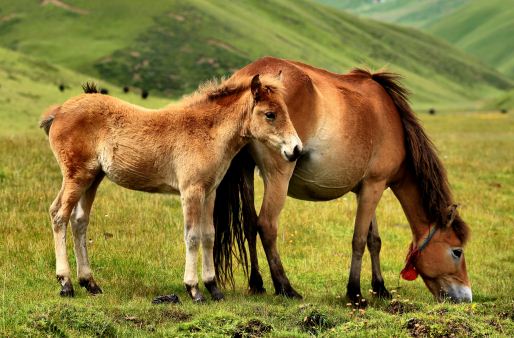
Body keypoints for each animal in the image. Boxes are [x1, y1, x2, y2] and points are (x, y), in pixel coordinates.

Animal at [43, 74, 304, 302]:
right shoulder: (191, 191)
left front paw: (214, 288)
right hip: (76, 176)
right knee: (59, 214)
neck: (207, 132)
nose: (296, 149)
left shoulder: (209, 192)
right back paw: (66, 283)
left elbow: (208, 235)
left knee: (79, 221)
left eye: (286, 111)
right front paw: (194, 289)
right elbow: (192, 236)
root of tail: (59, 111)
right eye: (270, 114)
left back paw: (90, 283)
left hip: (93, 177)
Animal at [211, 56, 468, 304]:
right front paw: (355, 293)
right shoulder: (374, 186)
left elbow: (374, 240)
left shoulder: (366, 189)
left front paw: (380, 288)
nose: (466, 297)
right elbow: (359, 240)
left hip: (246, 171)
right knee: (266, 225)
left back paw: (257, 283)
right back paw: (285, 287)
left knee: (249, 225)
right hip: (278, 175)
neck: (392, 122)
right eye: (457, 251)